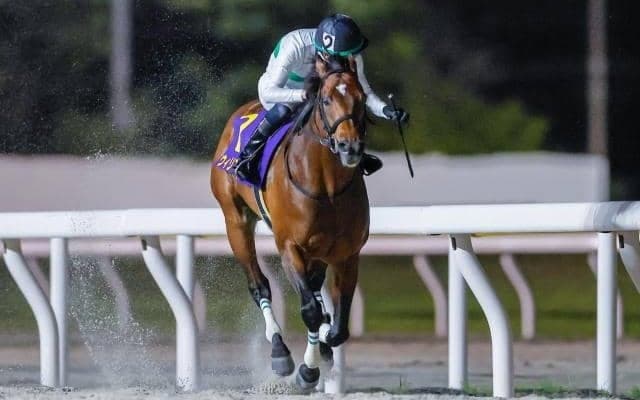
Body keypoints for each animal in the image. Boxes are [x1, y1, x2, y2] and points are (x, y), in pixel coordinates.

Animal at [210, 55, 369, 389]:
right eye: (326, 99)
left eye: (361, 99)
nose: (349, 147)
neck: (327, 188)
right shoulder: (289, 247)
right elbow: (310, 311)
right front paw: (307, 371)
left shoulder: (347, 253)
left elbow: (337, 327)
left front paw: (324, 348)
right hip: (236, 221)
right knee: (259, 286)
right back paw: (280, 351)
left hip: (319, 251)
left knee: (315, 290)